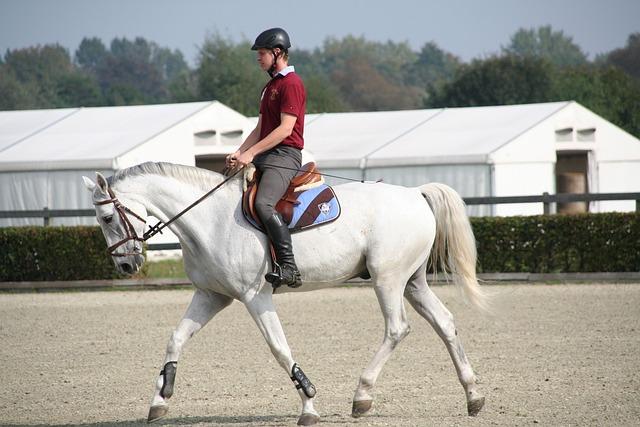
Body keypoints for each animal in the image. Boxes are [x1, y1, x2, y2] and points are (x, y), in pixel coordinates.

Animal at [82, 163, 488, 424]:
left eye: (107, 218)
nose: (126, 266)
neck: (209, 221)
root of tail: (415, 194)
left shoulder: (254, 296)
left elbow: (279, 348)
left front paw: (308, 404)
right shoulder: (212, 295)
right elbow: (176, 338)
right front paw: (160, 398)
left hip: (387, 279)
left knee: (397, 328)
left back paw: (362, 395)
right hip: (412, 282)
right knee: (445, 323)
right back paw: (473, 395)